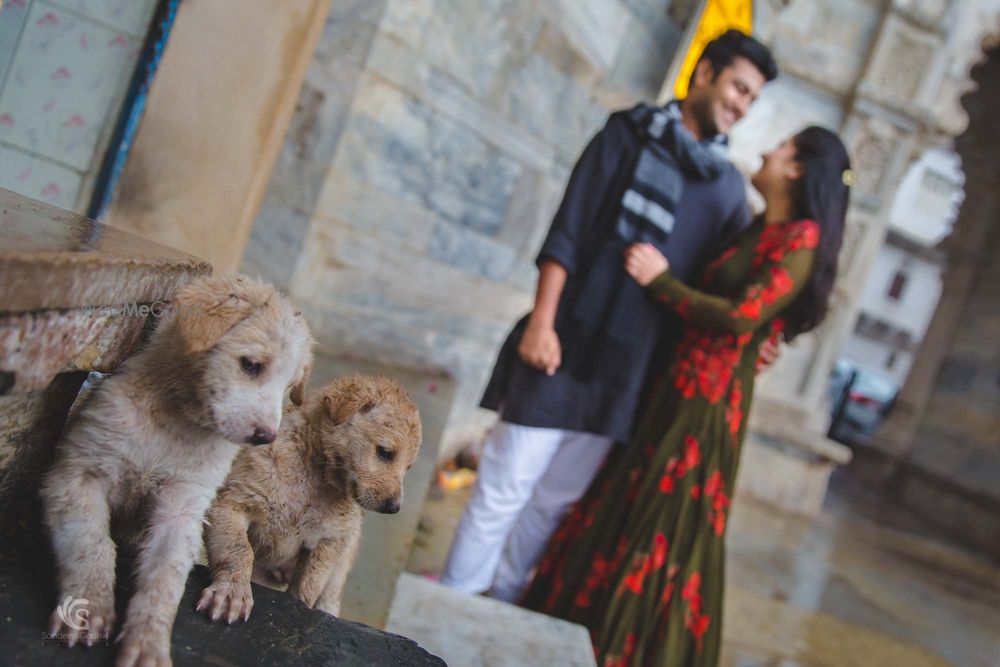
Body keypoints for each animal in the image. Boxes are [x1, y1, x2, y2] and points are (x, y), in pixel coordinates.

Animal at [40, 274, 312, 667]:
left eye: (289, 389)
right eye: (250, 365)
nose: (265, 437)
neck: (176, 422)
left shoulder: (183, 506)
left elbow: (164, 580)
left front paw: (148, 642)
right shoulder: (77, 473)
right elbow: (91, 543)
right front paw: (88, 606)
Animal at [199, 376, 422, 620]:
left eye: (408, 467)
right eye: (385, 453)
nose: (394, 507)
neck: (315, 476)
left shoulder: (331, 539)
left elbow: (310, 583)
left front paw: (300, 606)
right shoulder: (231, 502)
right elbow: (238, 549)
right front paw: (231, 594)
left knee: (331, 592)